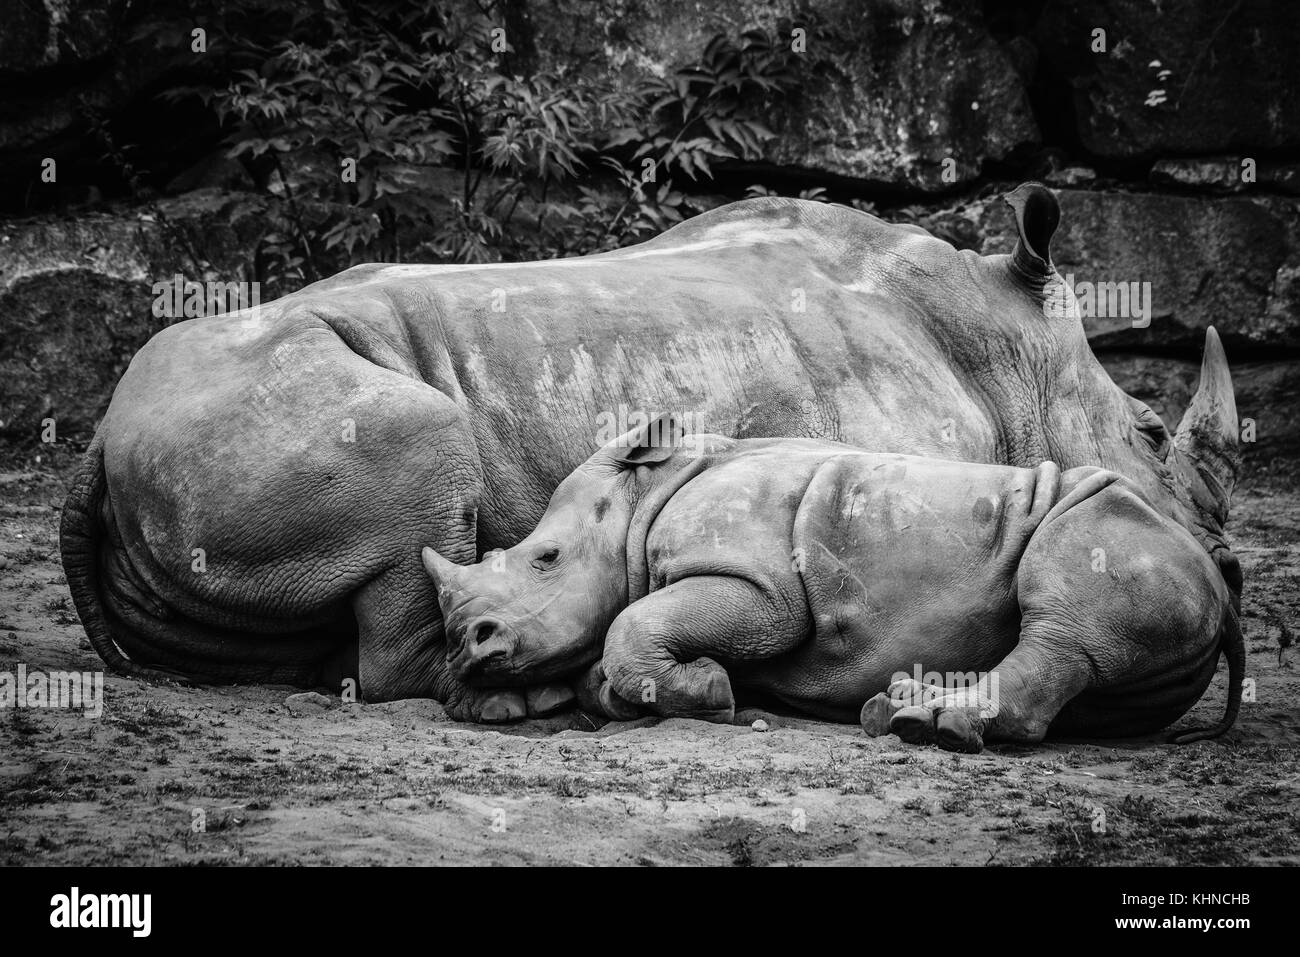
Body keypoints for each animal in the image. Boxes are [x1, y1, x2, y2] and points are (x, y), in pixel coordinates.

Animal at [421, 416, 1242, 748]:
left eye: (546, 559)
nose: (464, 647)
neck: (638, 500)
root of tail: (1224, 587)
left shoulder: (761, 588)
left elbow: (633, 624)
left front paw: (711, 692)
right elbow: (614, 652)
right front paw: (664, 690)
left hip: (1113, 531)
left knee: (1065, 620)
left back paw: (923, 726)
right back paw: (898, 706)